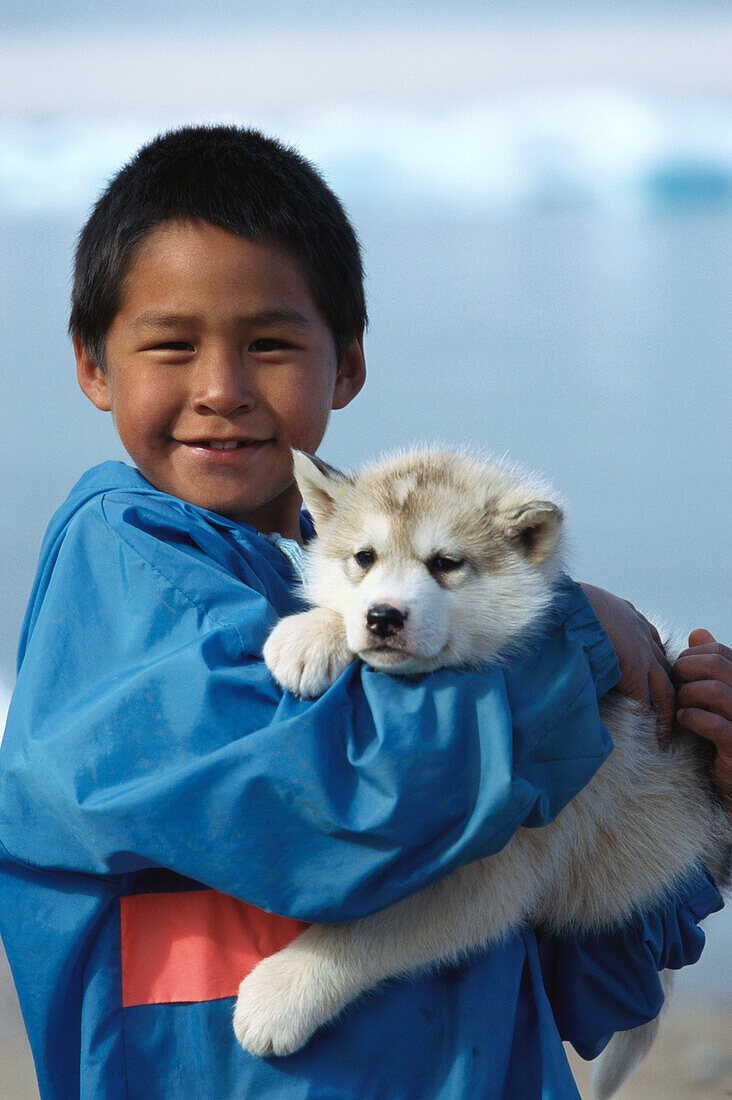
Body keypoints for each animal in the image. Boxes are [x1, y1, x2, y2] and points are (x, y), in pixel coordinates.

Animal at [234, 448, 726, 1100]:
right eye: (364, 558)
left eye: (445, 563)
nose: (382, 617)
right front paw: (312, 633)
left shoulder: (493, 877)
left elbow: (366, 934)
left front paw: (278, 996)